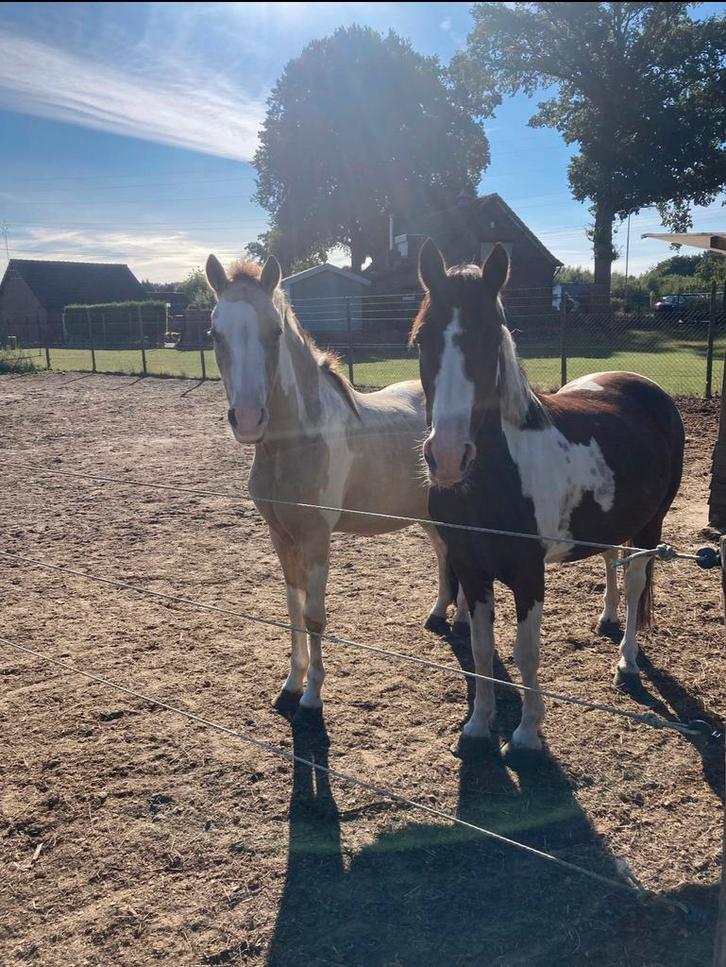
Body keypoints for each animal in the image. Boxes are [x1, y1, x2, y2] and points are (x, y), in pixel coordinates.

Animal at [205, 253, 467, 721]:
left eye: (274, 331)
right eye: (215, 334)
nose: (249, 420)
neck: (297, 440)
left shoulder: (317, 538)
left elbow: (314, 615)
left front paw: (311, 696)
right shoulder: (280, 535)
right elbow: (292, 608)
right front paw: (290, 685)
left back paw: (462, 623)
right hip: (424, 512)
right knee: (443, 551)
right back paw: (438, 614)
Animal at [411, 239, 684, 752]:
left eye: (490, 338)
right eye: (421, 340)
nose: (449, 457)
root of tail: (645, 385)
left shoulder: (528, 573)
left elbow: (525, 651)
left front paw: (526, 734)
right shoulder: (470, 568)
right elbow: (481, 648)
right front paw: (478, 724)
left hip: (649, 525)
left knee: (636, 579)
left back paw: (627, 661)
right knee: (609, 558)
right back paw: (606, 619)